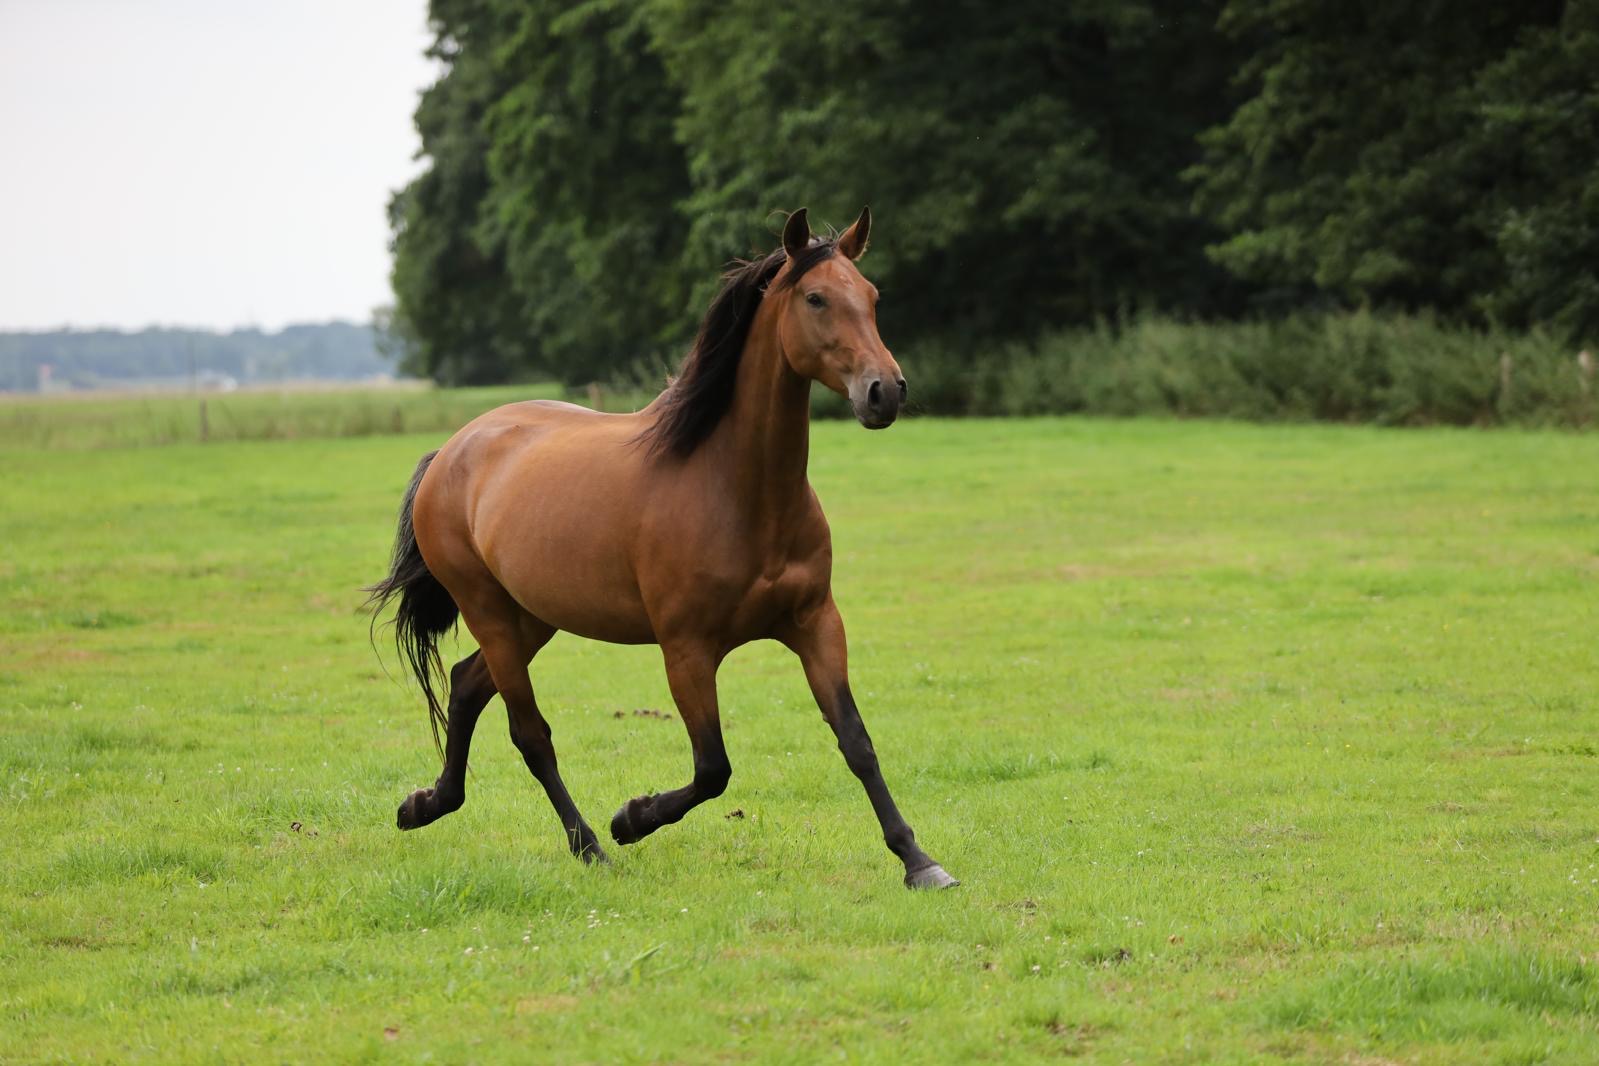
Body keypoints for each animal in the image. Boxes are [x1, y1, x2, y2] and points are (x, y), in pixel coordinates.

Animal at [366, 207, 956, 889]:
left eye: (871, 297)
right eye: (815, 298)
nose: (884, 391)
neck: (736, 490)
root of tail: (453, 449)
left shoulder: (816, 624)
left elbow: (856, 741)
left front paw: (919, 860)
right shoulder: (687, 650)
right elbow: (713, 768)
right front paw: (632, 818)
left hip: (531, 617)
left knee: (465, 687)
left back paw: (425, 805)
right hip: (488, 610)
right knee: (529, 733)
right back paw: (589, 844)